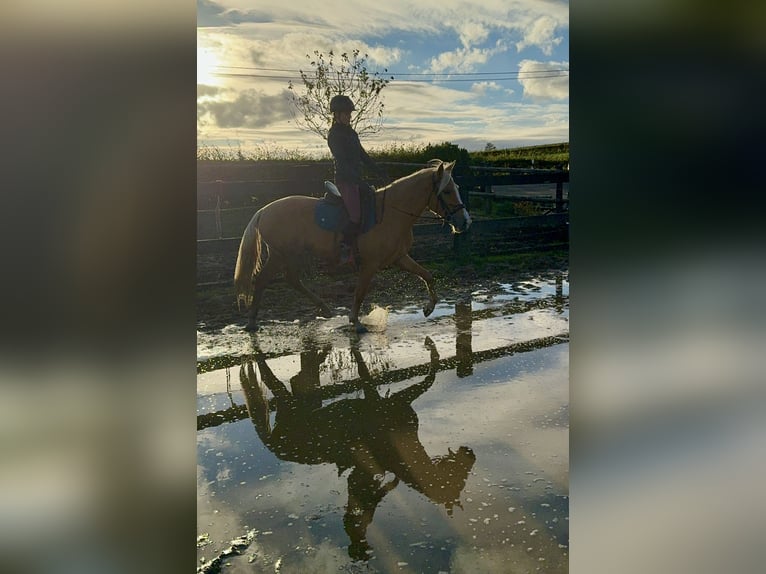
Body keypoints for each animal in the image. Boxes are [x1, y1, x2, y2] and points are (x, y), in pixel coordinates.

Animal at [234, 160, 474, 336]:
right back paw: (252, 322)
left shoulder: (399, 257)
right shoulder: (370, 264)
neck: (392, 212)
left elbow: (427, 275)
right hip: (283, 254)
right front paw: (356, 323)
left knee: (290, 279)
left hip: (292, 255)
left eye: (457, 188)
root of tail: (263, 210)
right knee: (265, 280)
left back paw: (324, 309)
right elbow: (360, 292)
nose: (465, 222)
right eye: (448, 191)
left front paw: (429, 308)